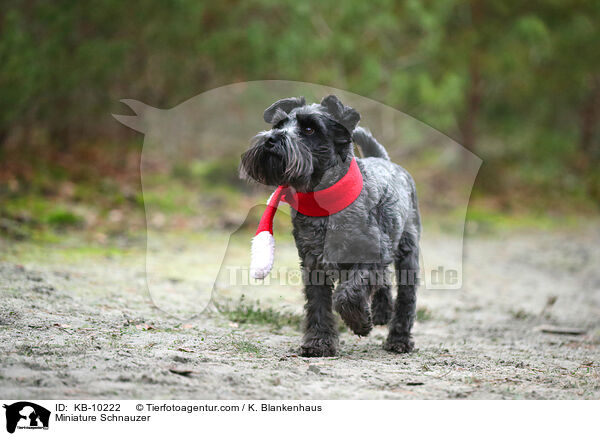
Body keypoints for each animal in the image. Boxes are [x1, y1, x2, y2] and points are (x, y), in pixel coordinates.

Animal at [240, 93, 422, 356]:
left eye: (309, 128)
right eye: (278, 124)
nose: (270, 139)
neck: (325, 202)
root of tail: (384, 160)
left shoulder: (371, 256)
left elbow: (347, 294)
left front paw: (359, 322)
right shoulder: (312, 263)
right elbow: (319, 304)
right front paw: (319, 342)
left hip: (408, 252)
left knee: (406, 297)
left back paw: (399, 340)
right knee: (385, 284)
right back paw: (381, 312)